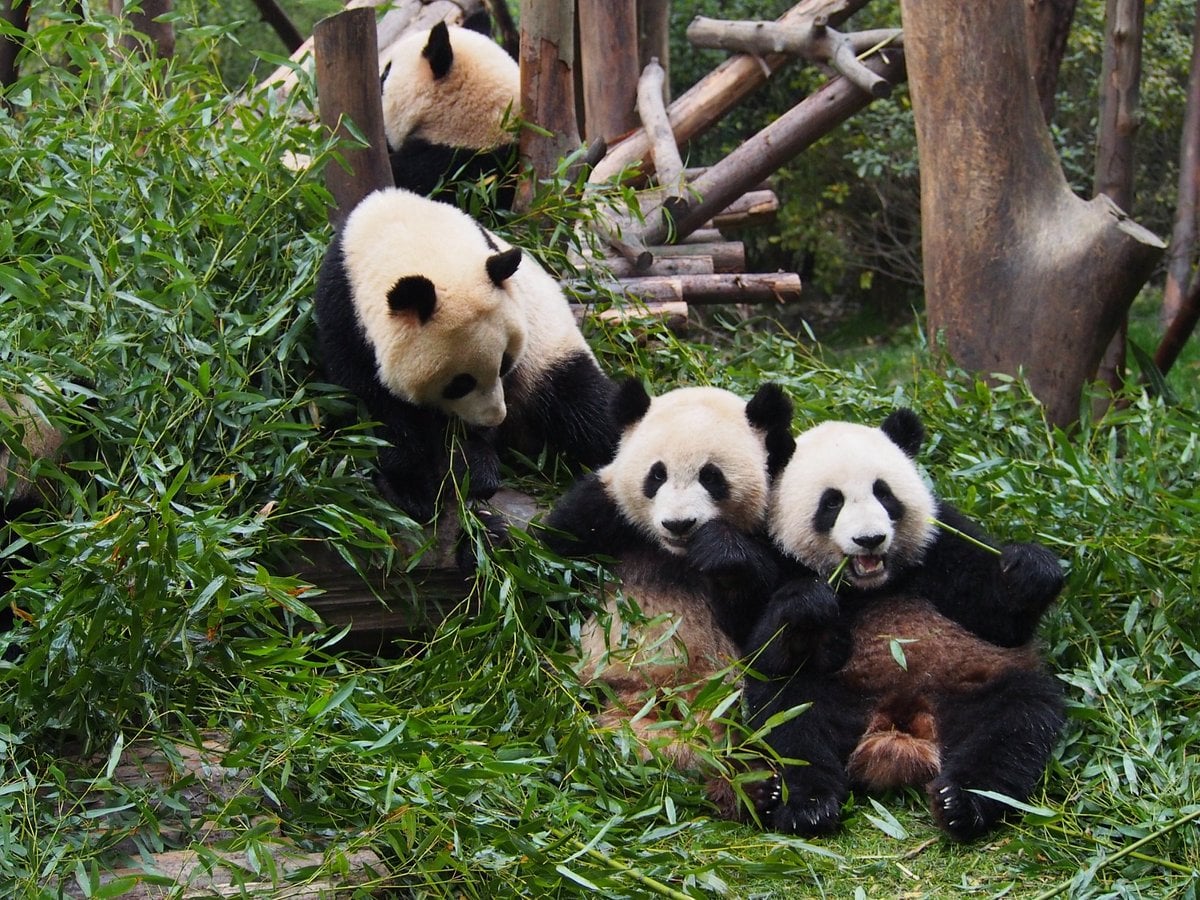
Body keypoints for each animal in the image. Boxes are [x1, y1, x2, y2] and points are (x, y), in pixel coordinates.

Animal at [315, 187, 616, 522]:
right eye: (460, 383)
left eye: (505, 364)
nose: (494, 418)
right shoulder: (344, 317)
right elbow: (378, 411)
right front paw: (413, 490)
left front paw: (474, 472)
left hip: (550, 355)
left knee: (588, 408)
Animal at [543, 379, 795, 815]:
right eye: (656, 474)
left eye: (711, 476)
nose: (679, 524)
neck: (673, 555)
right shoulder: (601, 513)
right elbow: (548, 569)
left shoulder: (769, 532)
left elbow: (761, 621)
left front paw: (722, 554)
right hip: (601, 693)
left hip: (725, 698)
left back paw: (752, 785)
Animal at [744, 409, 1065, 841]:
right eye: (832, 502)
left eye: (884, 494)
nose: (870, 539)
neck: (871, 585)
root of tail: (902, 720)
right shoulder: (773, 555)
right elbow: (761, 650)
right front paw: (809, 603)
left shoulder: (940, 541)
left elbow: (997, 620)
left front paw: (1030, 569)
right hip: (838, 692)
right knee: (792, 717)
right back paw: (808, 805)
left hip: (973, 685)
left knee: (1015, 724)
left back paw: (961, 802)